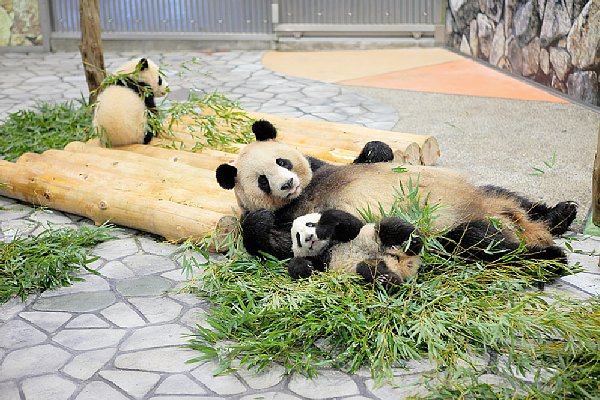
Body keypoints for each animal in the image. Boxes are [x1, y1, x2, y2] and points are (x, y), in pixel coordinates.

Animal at [217, 119, 576, 264]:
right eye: (263, 181)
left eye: (283, 161)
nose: (287, 184)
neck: (304, 194)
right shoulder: (287, 217)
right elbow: (274, 240)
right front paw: (261, 222)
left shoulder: (320, 168)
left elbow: (369, 157)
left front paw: (376, 149)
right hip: (449, 236)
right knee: (479, 243)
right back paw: (549, 256)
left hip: (483, 194)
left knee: (516, 198)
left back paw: (560, 215)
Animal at [290, 209, 422, 284]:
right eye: (298, 237)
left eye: (310, 224)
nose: (309, 237)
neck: (328, 246)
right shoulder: (320, 261)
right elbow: (298, 268)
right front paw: (307, 266)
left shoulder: (342, 234)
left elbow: (352, 226)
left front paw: (322, 230)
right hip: (375, 264)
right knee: (367, 268)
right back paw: (389, 280)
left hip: (376, 236)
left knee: (389, 228)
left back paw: (413, 243)